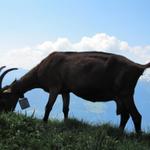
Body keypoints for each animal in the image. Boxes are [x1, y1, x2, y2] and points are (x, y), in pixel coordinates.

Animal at [0, 51, 150, 132]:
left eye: (4, 98)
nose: (4, 113)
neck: (41, 69)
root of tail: (138, 66)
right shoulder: (65, 90)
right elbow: (65, 108)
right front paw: (65, 124)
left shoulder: (54, 87)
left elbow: (48, 107)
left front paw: (44, 123)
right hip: (120, 96)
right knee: (125, 115)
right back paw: (119, 133)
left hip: (126, 93)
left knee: (136, 116)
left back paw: (137, 137)